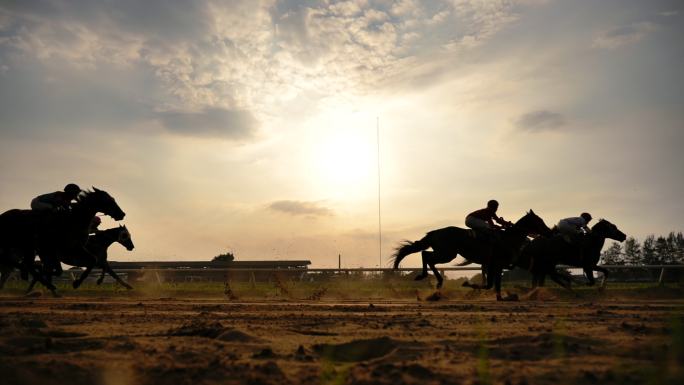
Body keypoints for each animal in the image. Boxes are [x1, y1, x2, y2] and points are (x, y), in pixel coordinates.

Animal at [392, 210, 548, 300]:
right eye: (539, 221)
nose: (548, 231)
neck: (508, 238)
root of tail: (434, 232)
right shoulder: (495, 264)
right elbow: (490, 284)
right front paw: (467, 284)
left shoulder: (495, 265)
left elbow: (492, 284)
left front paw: (502, 297)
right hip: (447, 253)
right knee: (426, 255)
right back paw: (426, 277)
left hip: (445, 253)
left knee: (427, 255)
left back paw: (435, 283)